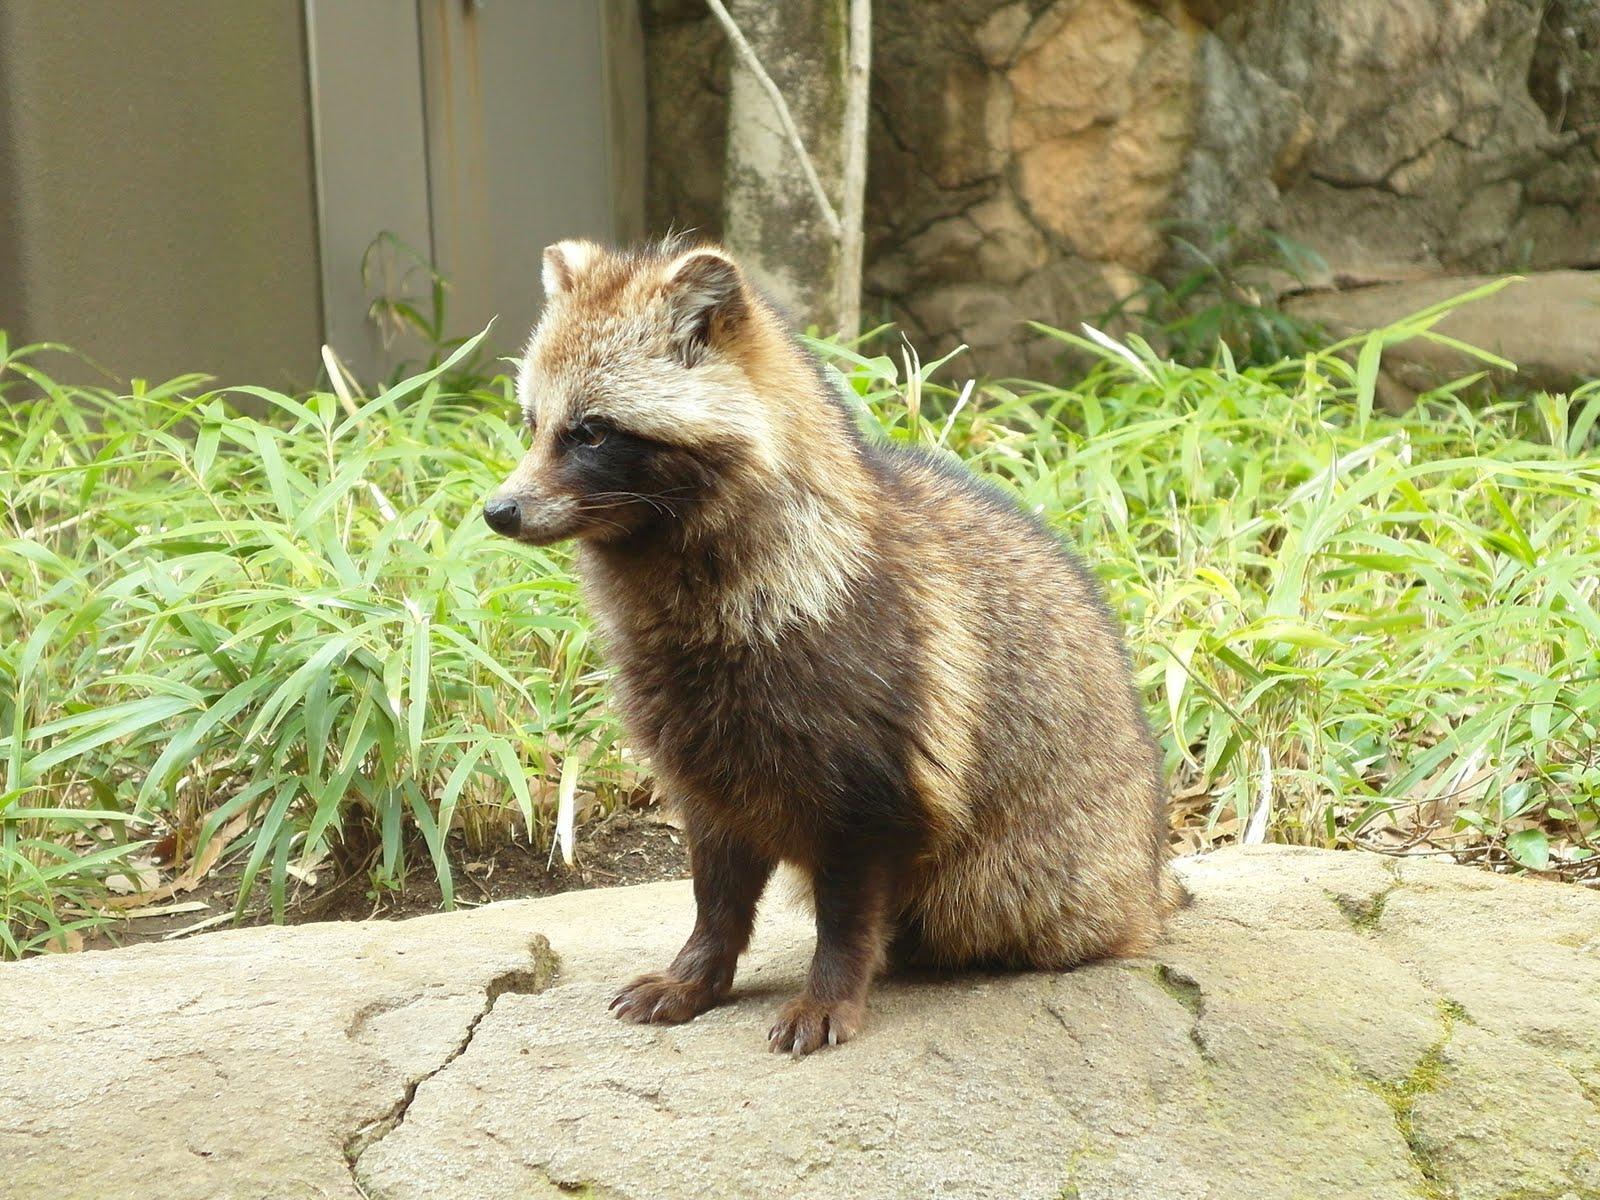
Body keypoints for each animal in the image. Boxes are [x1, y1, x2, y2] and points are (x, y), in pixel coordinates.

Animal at [484, 236, 1177, 1056]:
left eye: (590, 431)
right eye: (532, 423)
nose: (497, 511)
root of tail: (1145, 877)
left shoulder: (878, 768)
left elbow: (848, 909)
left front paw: (832, 987)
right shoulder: (703, 757)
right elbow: (717, 892)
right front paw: (700, 971)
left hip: (1026, 878)